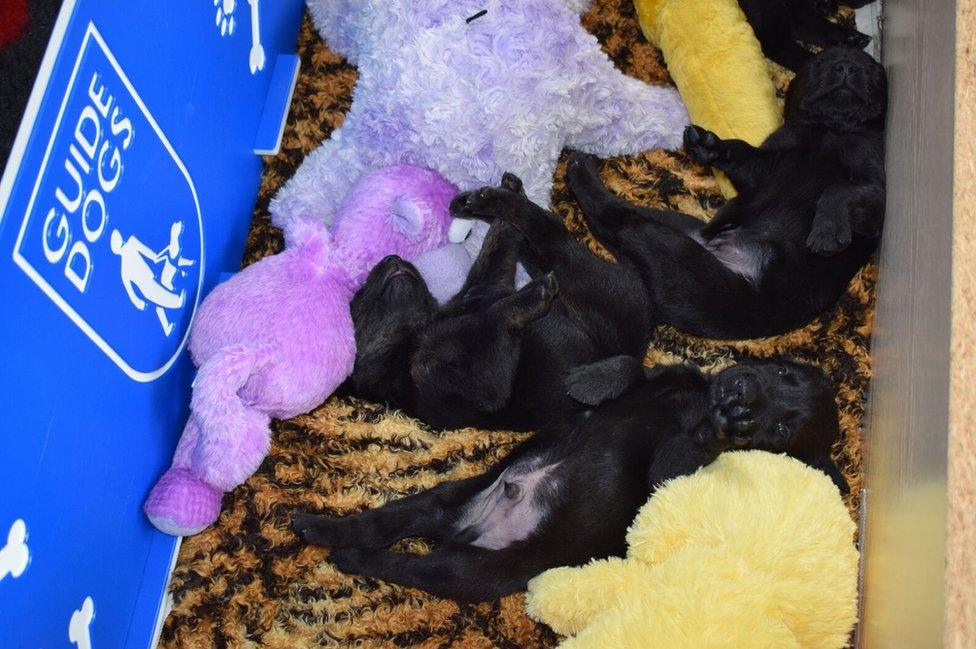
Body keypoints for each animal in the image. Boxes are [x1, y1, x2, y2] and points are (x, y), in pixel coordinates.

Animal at [296, 356, 848, 600]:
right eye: (785, 374)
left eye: (781, 431)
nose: (743, 397)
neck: (695, 402)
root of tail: (476, 528)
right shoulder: (672, 375)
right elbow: (638, 365)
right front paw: (591, 380)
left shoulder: (668, 473)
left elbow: (683, 452)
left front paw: (720, 429)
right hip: (450, 498)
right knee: (387, 521)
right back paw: (316, 528)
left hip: (473, 572)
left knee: (405, 564)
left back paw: (348, 557)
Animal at [346, 175, 652, 432]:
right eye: (358, 296)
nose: (392, 258)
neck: (417, 331)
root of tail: (637, 360)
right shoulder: (465, 381)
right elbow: (492, 318)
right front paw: (533, 294)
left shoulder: (485, 286)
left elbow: (495, 249)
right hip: (589, 281)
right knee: (548, 230)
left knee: (530, 233)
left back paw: (486, 198)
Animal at [560, 45, 888, 340]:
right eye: (819, 62)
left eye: (873, 69)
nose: (846, 67)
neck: (830, 130)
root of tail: (721, 251)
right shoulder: (763, 167)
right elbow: (740, 153)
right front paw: (710, 145)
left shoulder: (877, 193)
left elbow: (841, 189)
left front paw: (827, 229)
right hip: (676, 227)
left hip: (682, 263)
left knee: (614, 219)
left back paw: (580, 168)